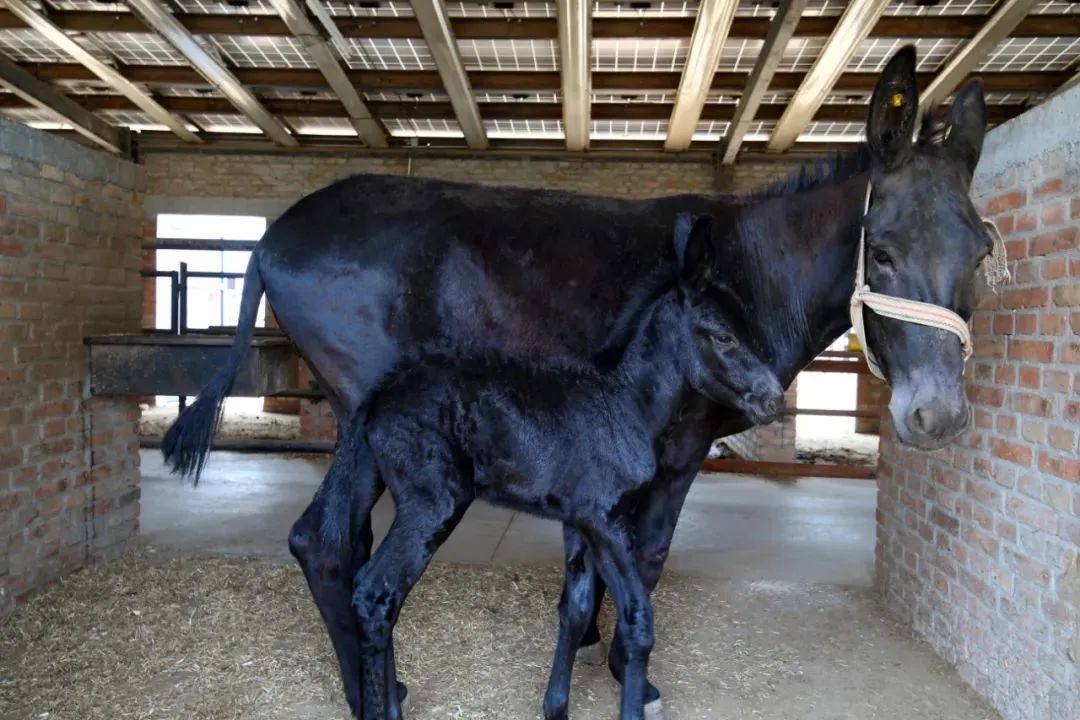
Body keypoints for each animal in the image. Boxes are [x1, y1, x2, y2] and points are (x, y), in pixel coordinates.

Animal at [341, 216, 781, 720]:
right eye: (723, 336)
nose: (773, 399)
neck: (625, 406)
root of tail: (380, 395)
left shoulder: (579, 523)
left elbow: (576, 609)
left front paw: (556, 707)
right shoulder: (607, 520)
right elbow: (637, 621)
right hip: (431, 504)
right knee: (376, 593)